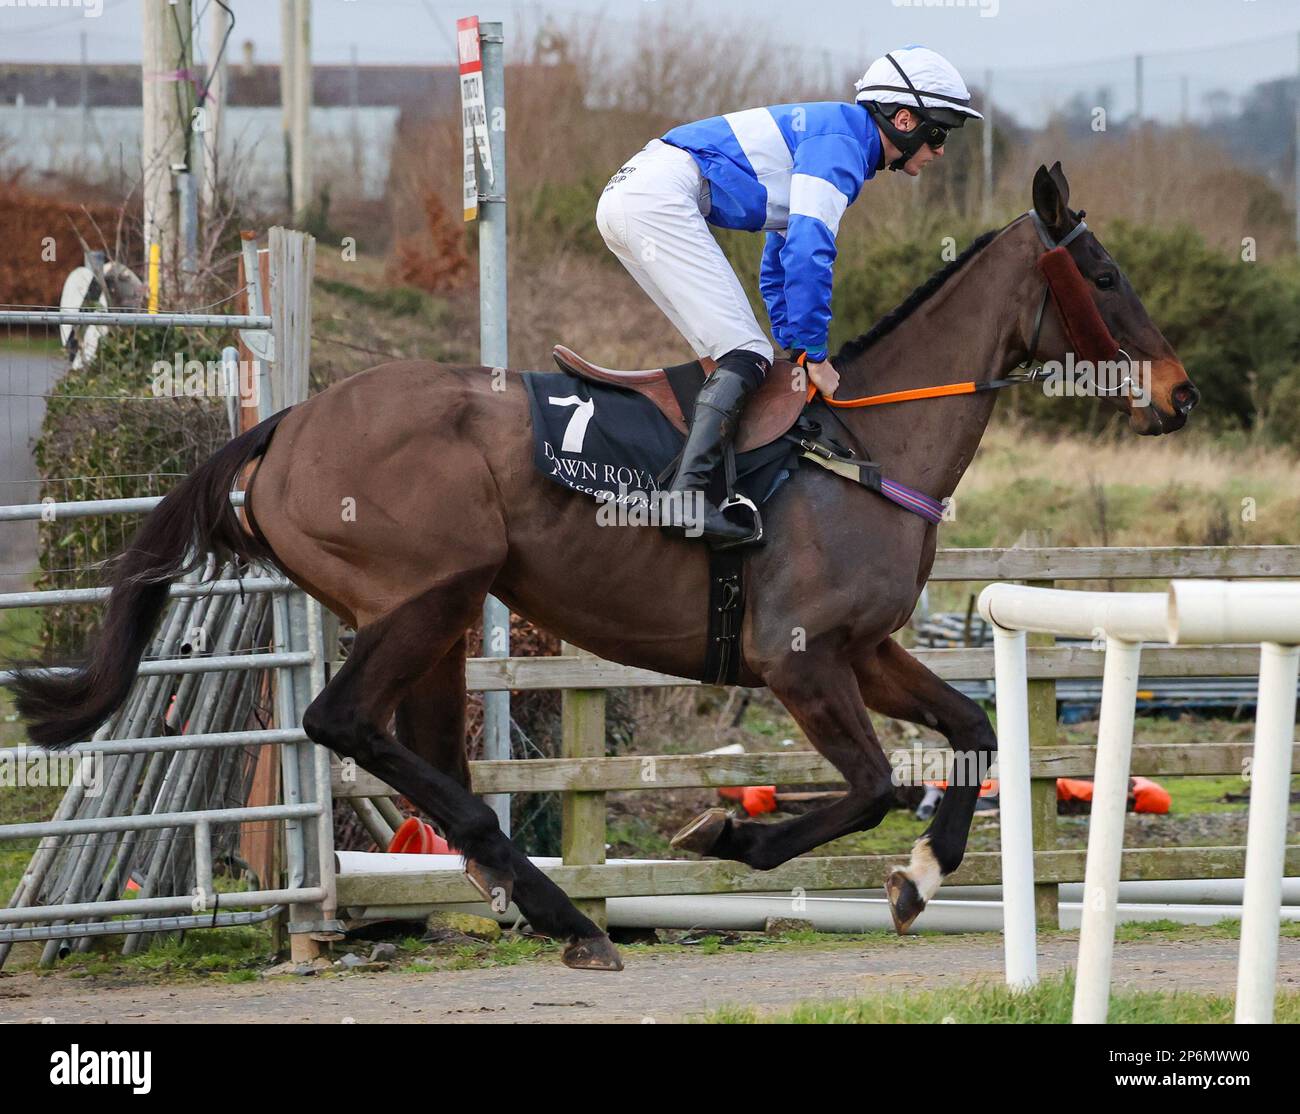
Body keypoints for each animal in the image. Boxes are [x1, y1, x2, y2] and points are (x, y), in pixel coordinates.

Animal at [15, 160, 1201, 967]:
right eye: (1103, 273)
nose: (1181, 393)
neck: (862, 445)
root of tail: (289, 422)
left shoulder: (865, 648)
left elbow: (970, 734)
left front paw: (917, 882)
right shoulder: (798, 658)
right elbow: (870, 784)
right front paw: (729, 831)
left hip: (443, 619)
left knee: (424, 752)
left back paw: (542, 904)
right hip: (426, 594)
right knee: (342, 721)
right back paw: (556, 907)